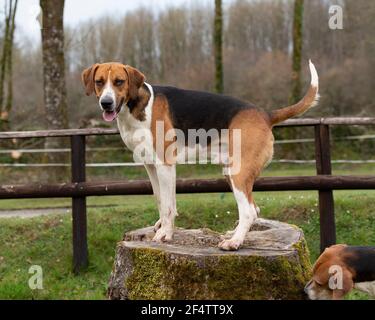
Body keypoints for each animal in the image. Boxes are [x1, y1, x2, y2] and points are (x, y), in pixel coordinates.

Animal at [82, 60, 320, 250]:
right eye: (99, 82)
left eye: (119, 81)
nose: (106, 103)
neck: (136, 107)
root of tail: (265, 114)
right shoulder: (151, 166)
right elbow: (161, 200)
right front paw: (162, 226)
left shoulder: (164, 164)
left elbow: (168, 205)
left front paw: (165, 234)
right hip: (231, 172)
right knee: (254, 208)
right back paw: (235, 235)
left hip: (239, 173)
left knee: (249, 210)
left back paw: (234, 242)